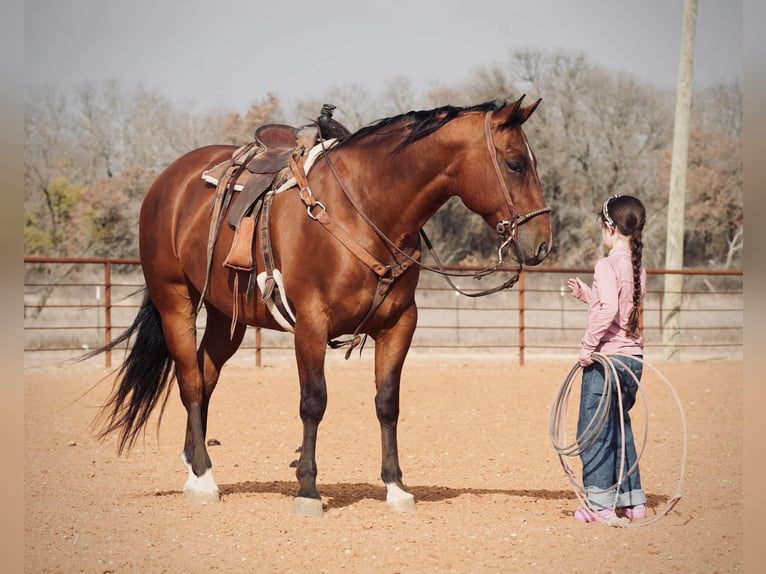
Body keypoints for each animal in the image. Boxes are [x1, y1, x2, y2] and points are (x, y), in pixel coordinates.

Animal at [93, 94, 556, 516]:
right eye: (515, 163)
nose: (542, 243)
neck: (364, 209)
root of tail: (167, 182)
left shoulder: (399, 324)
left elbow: (387, 403)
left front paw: (396, 488)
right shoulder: (311, 324)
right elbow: (313, 402)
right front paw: (308, 490)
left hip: (228, 317)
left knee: (206, 376)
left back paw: (195, 467)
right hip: (176, 301)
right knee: (190, 380)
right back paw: (205, 479)